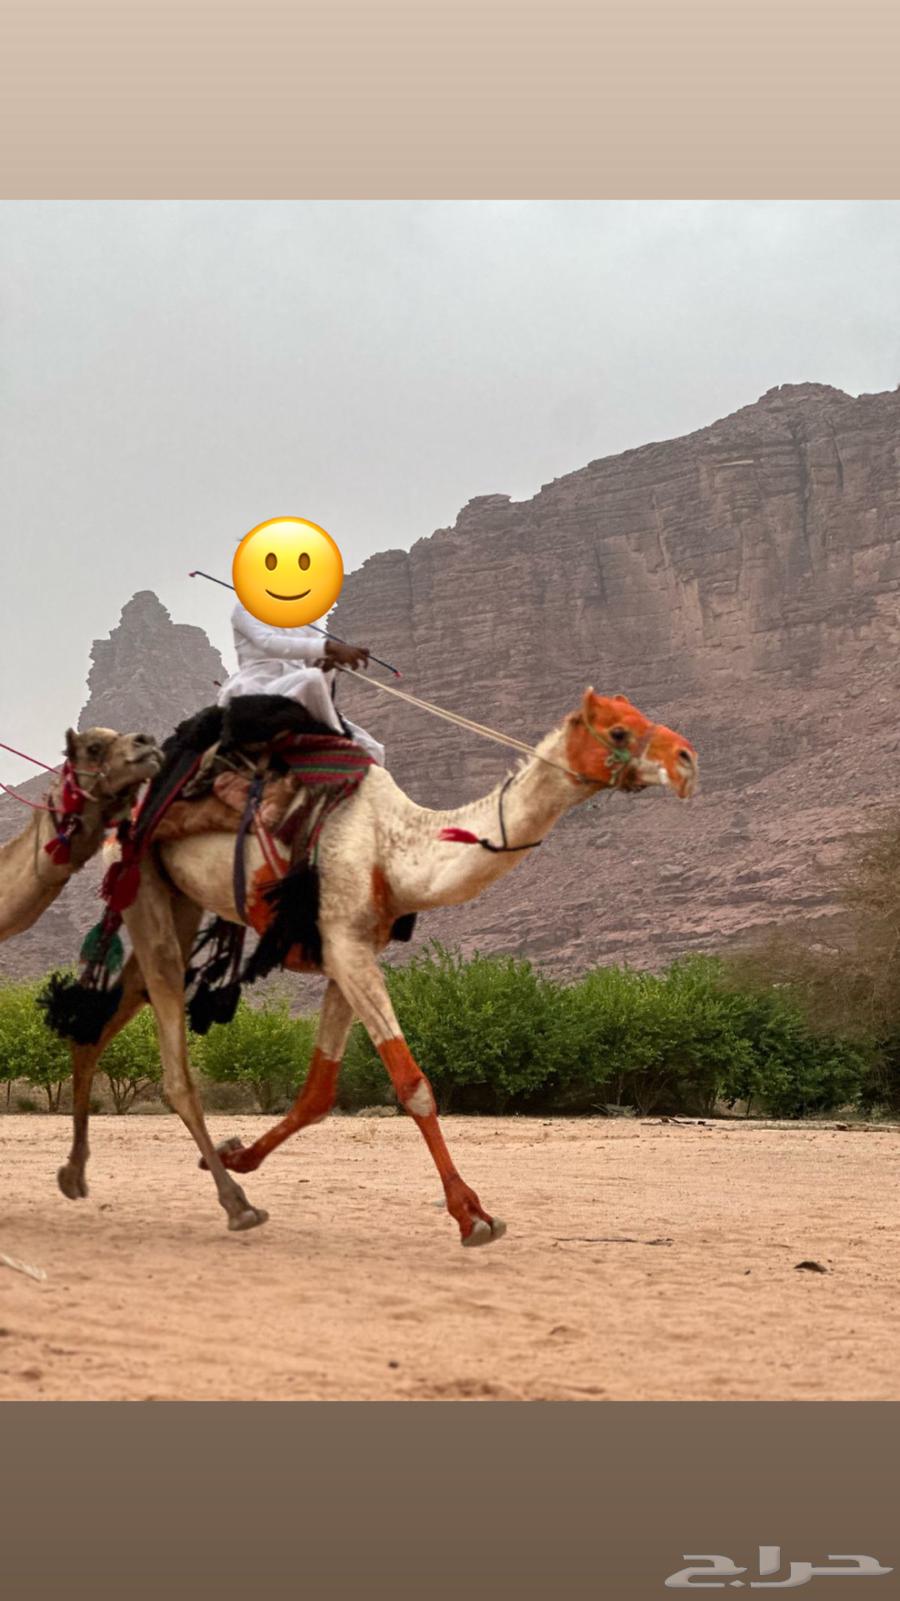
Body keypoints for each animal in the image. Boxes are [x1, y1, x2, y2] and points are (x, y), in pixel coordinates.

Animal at [57, 689, 697, 1245]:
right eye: (618, 730)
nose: (687, 758)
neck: (396, 851)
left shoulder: (350, 950)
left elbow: (319, 1091)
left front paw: (241, 1155)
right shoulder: (345, 944)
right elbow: (413, 1085)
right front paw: (472, 1216)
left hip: (182, 902)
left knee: (105, 1016)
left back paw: (75, 1174)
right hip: (143, 883)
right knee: (162, 1029)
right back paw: (228, 1204)